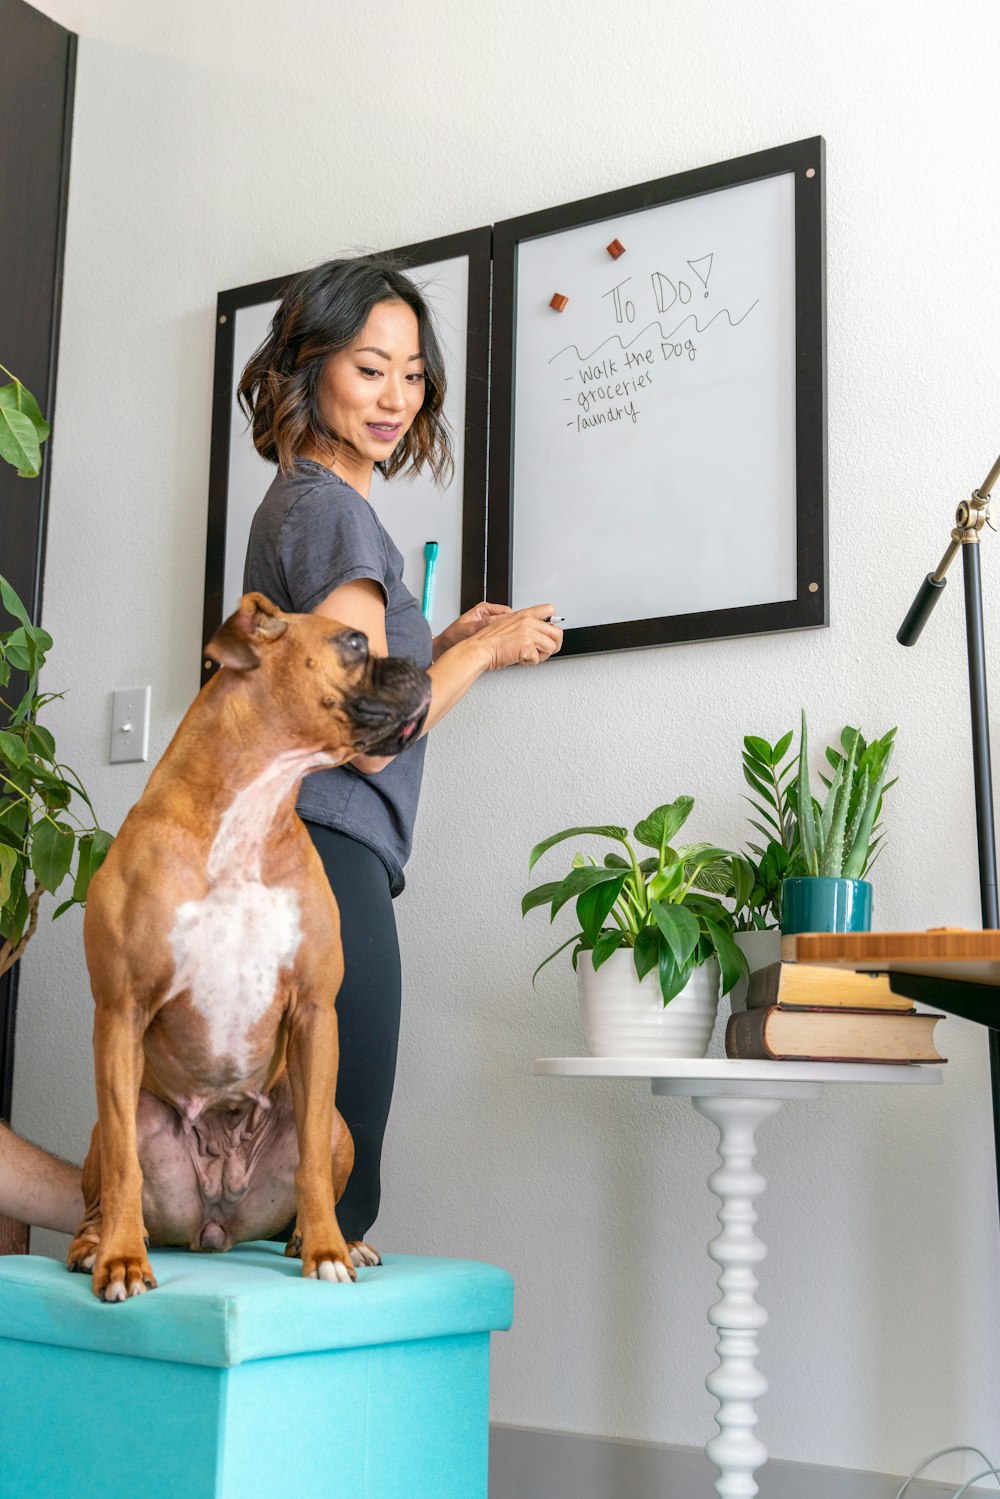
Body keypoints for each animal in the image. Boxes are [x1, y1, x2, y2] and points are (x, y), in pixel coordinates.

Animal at [65, 593, 434, 1301]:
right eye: (355, 641)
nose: (422, 667)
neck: (252, 807)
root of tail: (216, 1226)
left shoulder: (316, 1014)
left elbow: (311, 1164)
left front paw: (325, 1250)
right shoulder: (119, 1012)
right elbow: (125, 1167)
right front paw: (122, 1260)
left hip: (338, 1121)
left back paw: (326, 1239)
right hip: (113, 1120)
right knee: (107, 1182)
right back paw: (97, 1245)